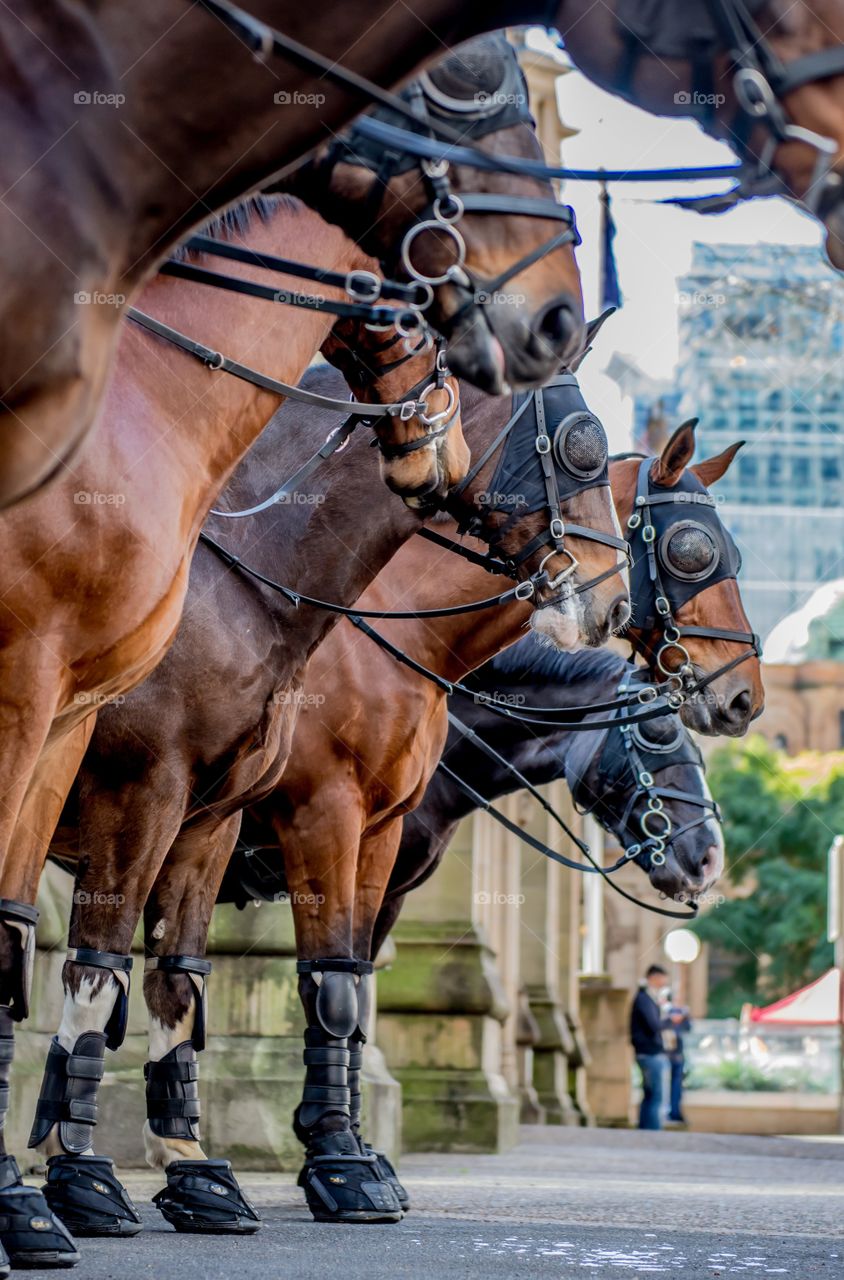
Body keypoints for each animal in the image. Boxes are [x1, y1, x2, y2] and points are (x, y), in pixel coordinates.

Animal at [0, 202, 476, 1267]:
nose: (451, 461)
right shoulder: (158, 793)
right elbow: (99, 972)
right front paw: (87, 1182)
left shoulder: (213, 818)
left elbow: (186, 981)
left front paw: (195, 1172)